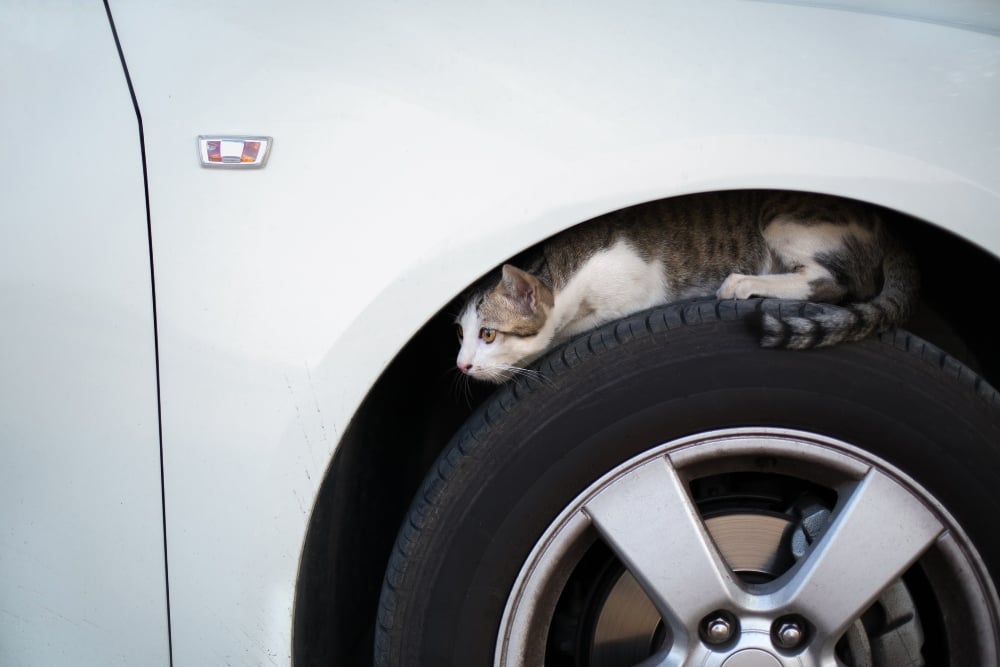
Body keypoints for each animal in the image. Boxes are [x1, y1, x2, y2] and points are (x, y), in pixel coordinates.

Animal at [458, 190, 916, 384]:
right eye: (461, 336)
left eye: (488, 334)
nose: (461, 365)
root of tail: (889, 229)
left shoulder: (633, 296)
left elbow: (561, 334)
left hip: (784, 217)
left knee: (833, 285)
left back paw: (743, 282)